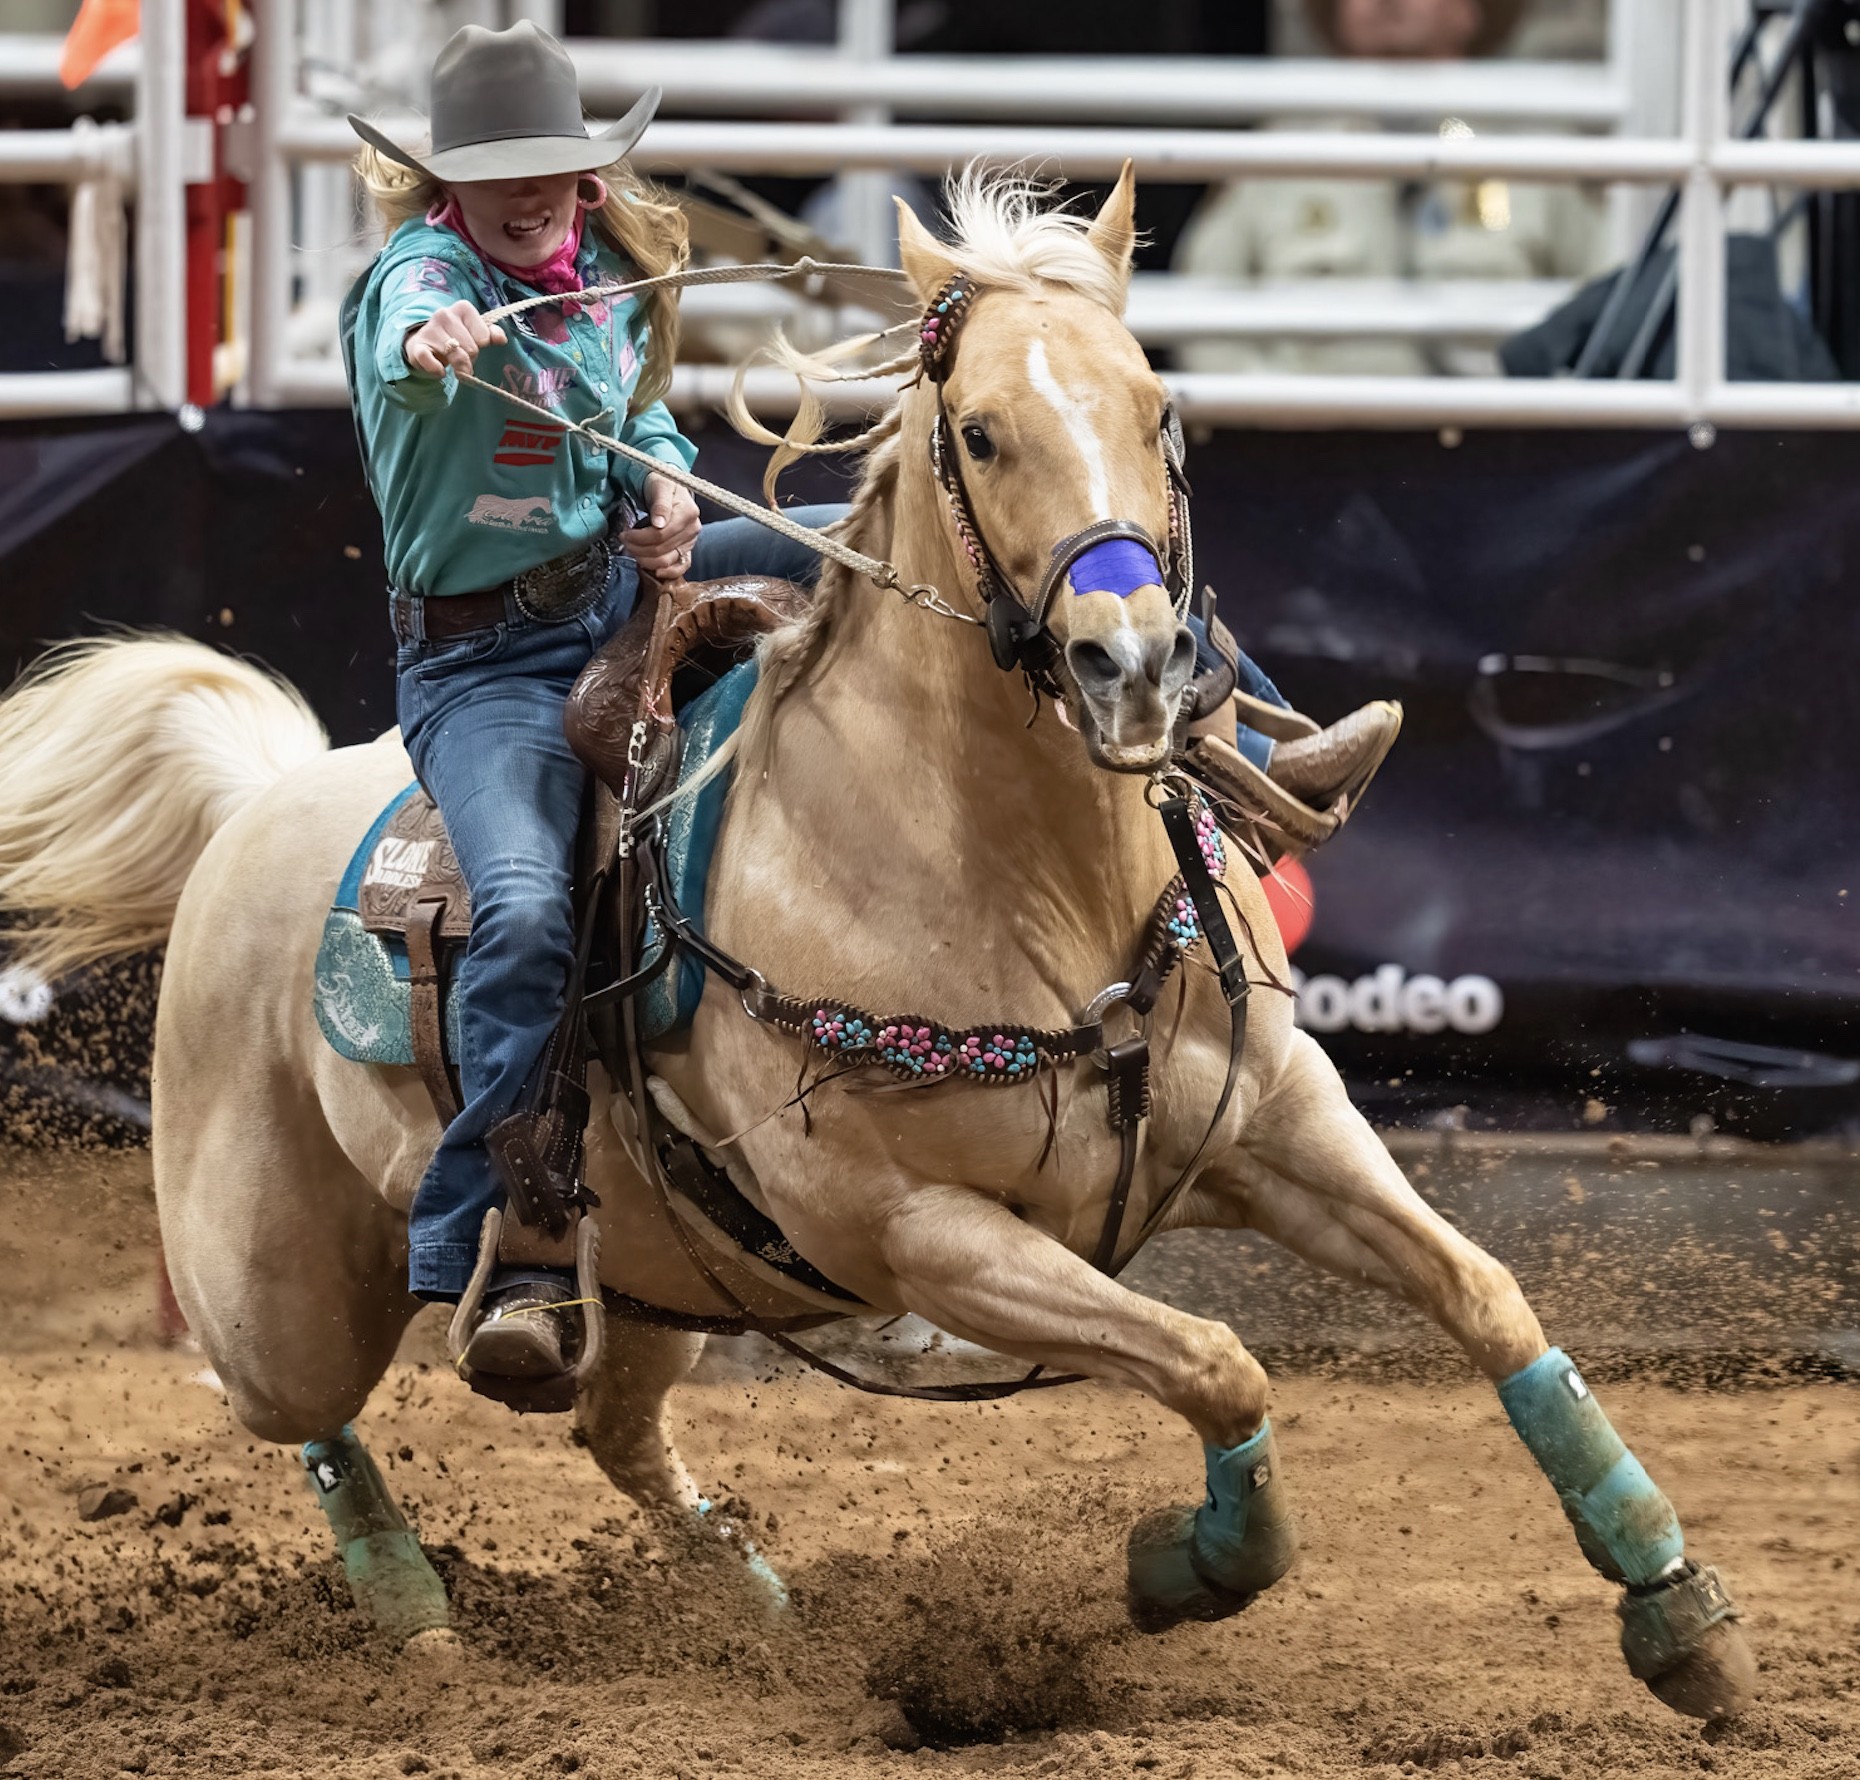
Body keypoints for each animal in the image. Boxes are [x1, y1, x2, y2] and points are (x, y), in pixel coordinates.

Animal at [0, 173, 1755, 1718]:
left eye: (1159, 412)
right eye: (980, 430)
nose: (1131, 665)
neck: (1013, 881)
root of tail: (264, 801)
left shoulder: (1280, 1119)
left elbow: (1485, 1296)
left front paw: (1674, 1606)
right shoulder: (926, 1234)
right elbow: (1216, 1360)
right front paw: (1186, 1566)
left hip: (660, 1279)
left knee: (611, 1433)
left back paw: (758, 1609)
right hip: (276, 1282)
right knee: (298, 1415)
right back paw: (410, 1605)